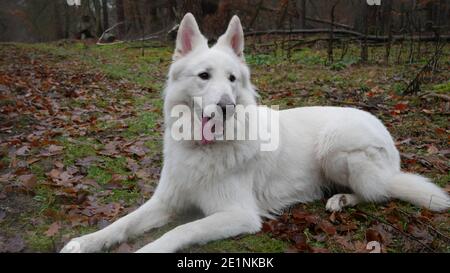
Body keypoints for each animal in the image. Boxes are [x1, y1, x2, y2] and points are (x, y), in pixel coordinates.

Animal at [60, 12, 450, 251]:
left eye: (232, 79)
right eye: (204, 76)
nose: (225, 106)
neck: (204, 150)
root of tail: (387, 135)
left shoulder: (238, 214)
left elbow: (181, 230)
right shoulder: (166, 201)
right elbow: (123, 223)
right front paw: (85, 241)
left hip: (336, 147)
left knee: (378, 192)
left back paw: (341, 199)